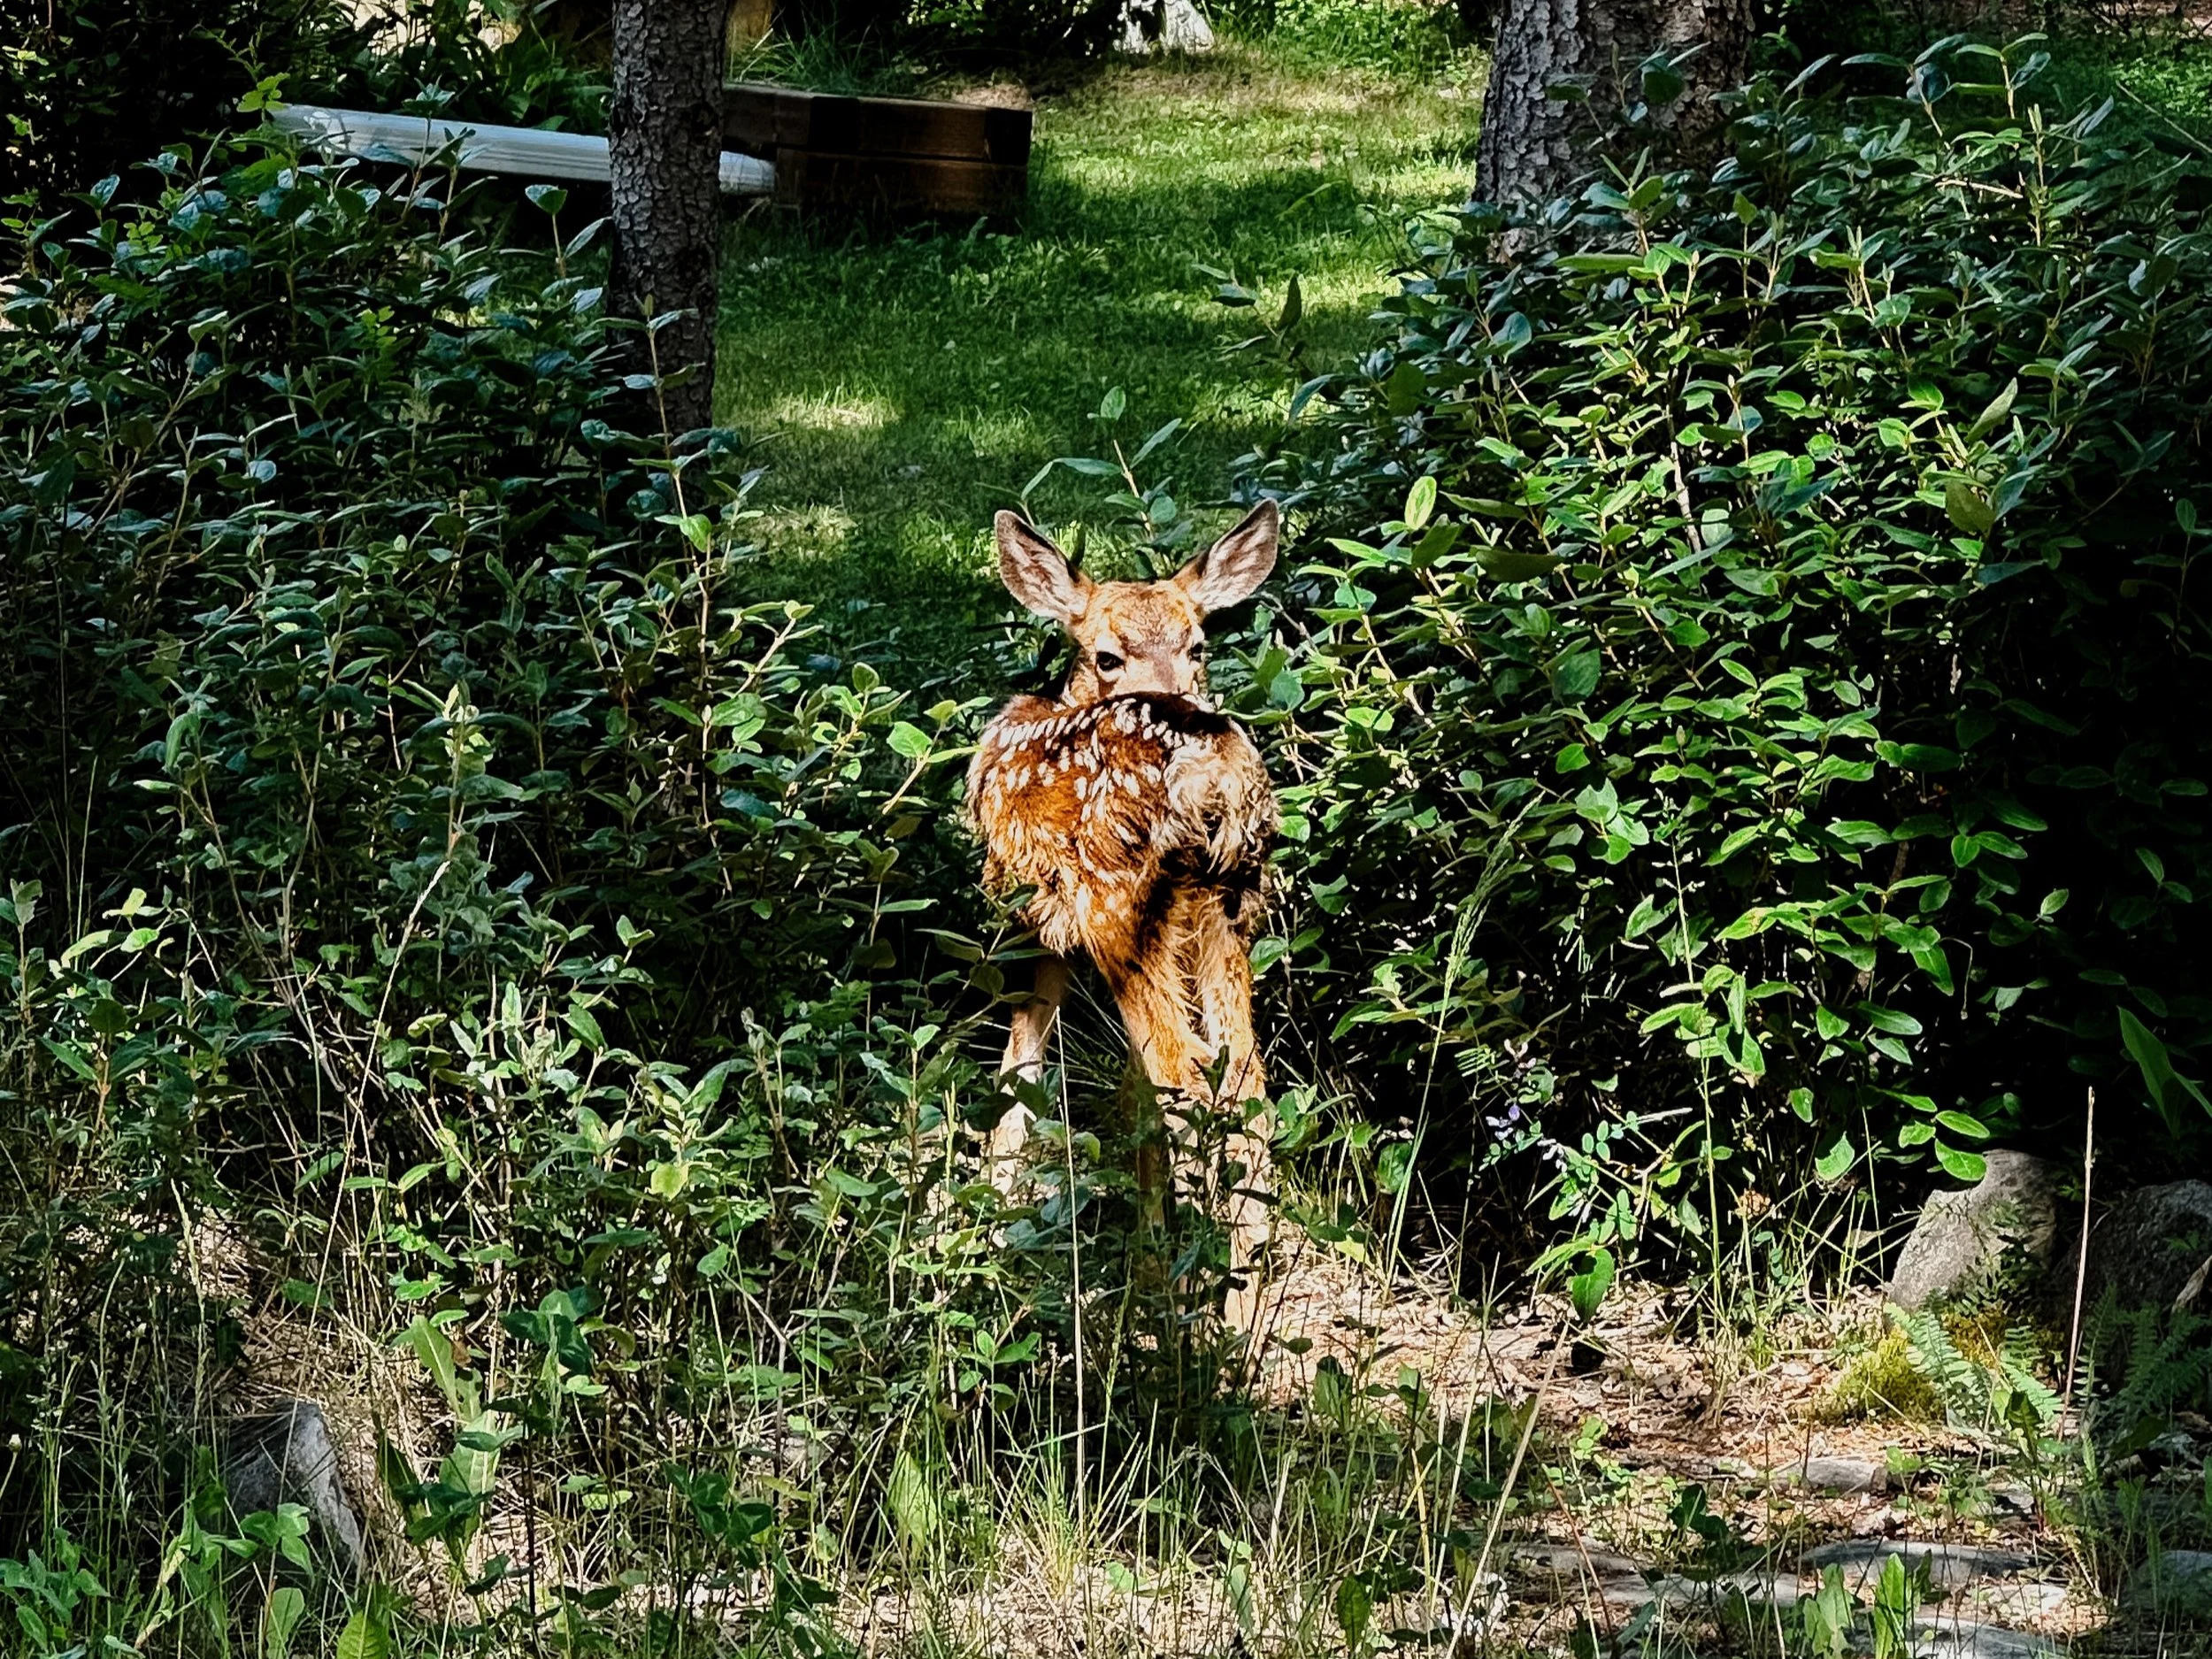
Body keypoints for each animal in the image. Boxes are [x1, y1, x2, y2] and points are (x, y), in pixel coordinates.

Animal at [964, 500, 1282, 1336]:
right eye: (1108, 654)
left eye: (1198, 646)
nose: (1189, 690)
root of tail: (1213, 773)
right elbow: (1130, 1095)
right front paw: (1149, 1265)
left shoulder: (1037, 922)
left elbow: (1021, 1069)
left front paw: (982, 1222)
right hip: (1229, 910)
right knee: (1244, 1083)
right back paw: (1246, 1303)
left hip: (1122, 909)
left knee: (1190, 1084)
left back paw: (1219, 1326)